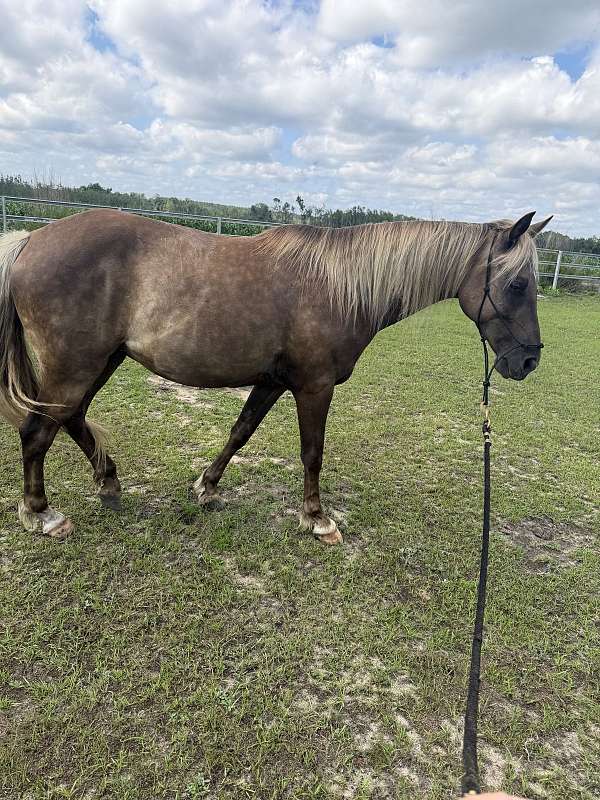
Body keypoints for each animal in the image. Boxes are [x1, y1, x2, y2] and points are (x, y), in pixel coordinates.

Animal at [0, 209, 551, 543]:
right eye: (518, 283)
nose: (528, 361)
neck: (339, 286)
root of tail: (31, 240)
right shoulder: (313, 386)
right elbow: (312, 453)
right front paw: (317, 518)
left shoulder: (272, 381)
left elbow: (240, 432)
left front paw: (206, 487)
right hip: (76, 365)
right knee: (38, 430)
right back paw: (42, 513)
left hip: (101, 361)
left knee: (70, 418)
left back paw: (109, 481)